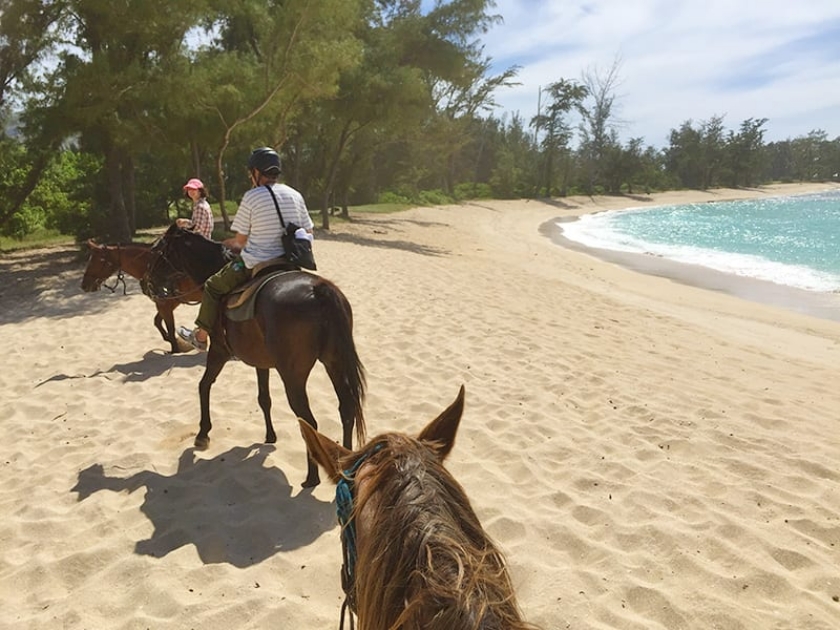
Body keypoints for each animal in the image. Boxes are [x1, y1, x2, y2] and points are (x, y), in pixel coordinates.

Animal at [150, 225, 364, 492]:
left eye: (160, 250)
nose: (150, 283)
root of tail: (319, 290)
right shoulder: (262, 363)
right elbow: (264, 398)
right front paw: (270, 436)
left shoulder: (218, 351)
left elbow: (204, 385)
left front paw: (202, 434)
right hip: (334, 363)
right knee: (346, 408)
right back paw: (345, 465)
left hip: (293, 376)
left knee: (308, 421)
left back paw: (312, 477)